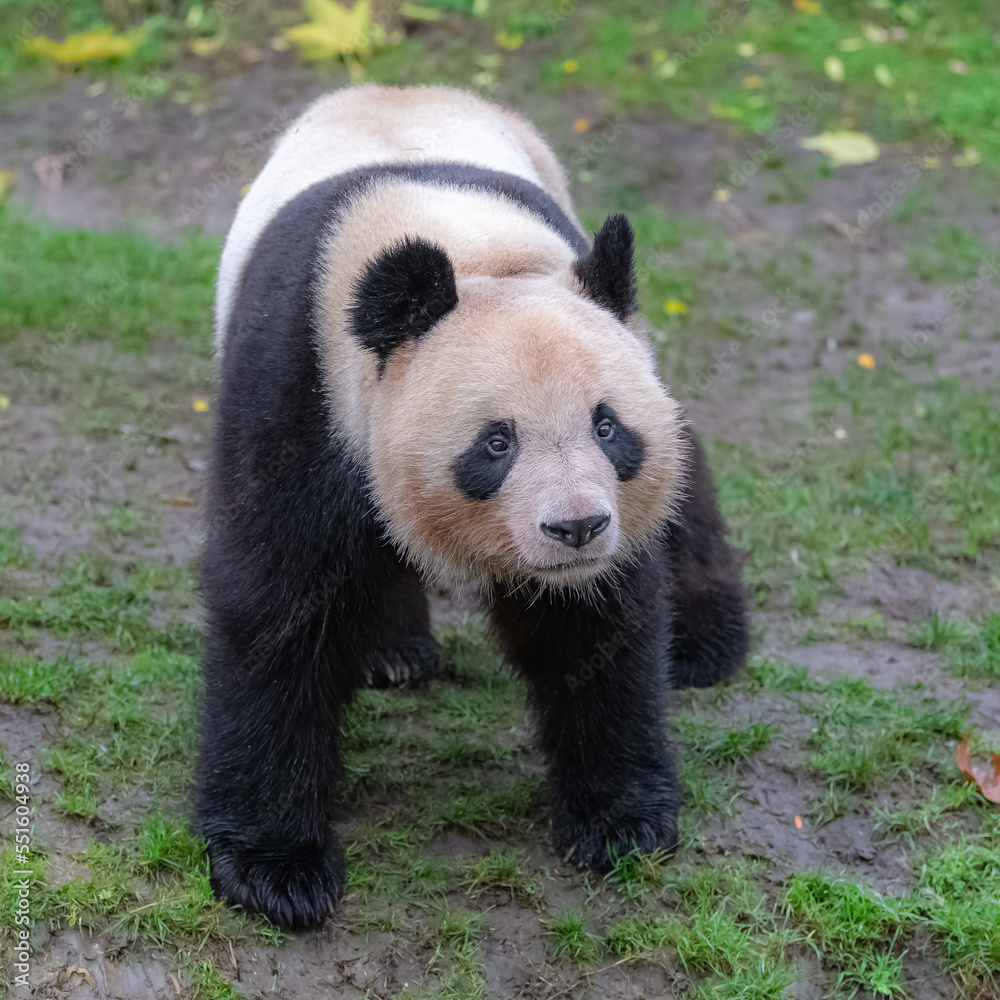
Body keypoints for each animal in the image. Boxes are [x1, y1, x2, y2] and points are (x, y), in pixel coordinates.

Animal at [196, 84, 748, 929]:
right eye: (496, 443)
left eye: (607, 425)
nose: (577, 528)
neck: (475, 254)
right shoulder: (300, 387)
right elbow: (278, 603)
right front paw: (274, 870)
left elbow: (594, 628)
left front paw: (619, 819)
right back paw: (395, 652)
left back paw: (706, 646)